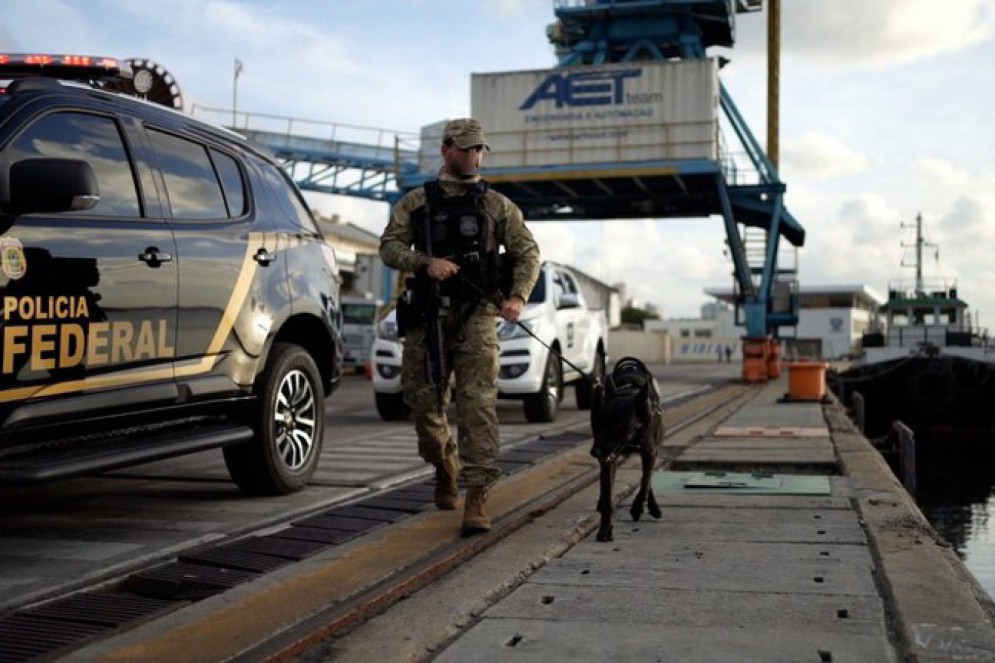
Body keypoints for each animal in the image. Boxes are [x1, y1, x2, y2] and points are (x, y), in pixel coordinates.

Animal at [592, 358, 660, 540]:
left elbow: (645, 482)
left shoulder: (650, 452)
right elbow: (608, 496)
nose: (595, 452)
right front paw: (605, 529)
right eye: (600, 424)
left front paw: (637, 507)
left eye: (618, 427)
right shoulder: (609, 458)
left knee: (646, 478)